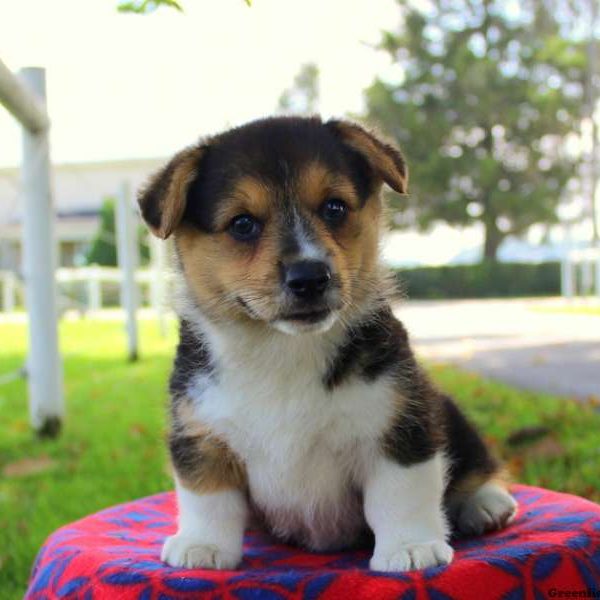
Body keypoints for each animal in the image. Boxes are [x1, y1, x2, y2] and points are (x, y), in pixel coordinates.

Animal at [138, 116, 516, 572]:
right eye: (242, 224)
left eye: (334, 207)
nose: (309, 277)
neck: (283, 350)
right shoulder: (201, 434)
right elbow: (208, 499)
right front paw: (202, 547)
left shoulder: (400, 423)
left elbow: (400, 495)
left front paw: (411, 548)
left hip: (445, 408)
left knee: (474, 461)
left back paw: (486, 502)